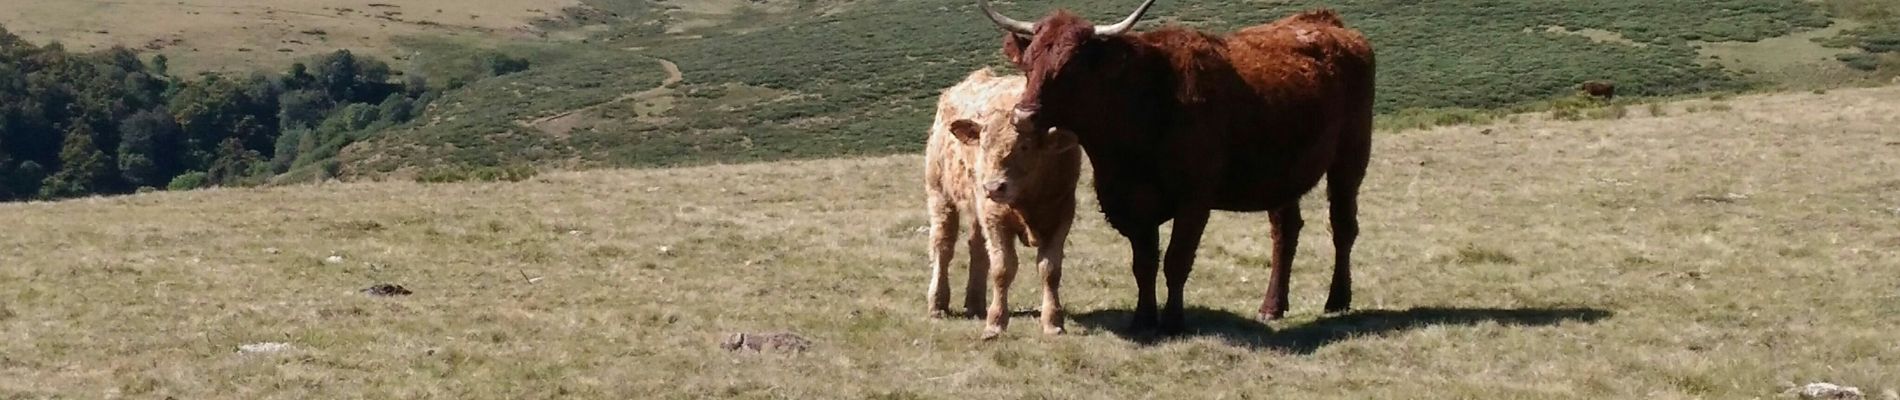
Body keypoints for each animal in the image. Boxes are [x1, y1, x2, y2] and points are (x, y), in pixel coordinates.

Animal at [923, 67, 1086, 339]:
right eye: (983, 145)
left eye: (1025, 146)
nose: (993, 187)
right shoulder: (996, 217)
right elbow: (1003, 268)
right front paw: (996, 323)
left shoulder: (1061, 215)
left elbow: (1050, 269)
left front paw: (1053, 322)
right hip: (940, 196)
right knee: (942, 247)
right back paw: (937, 304)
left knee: (976, 248)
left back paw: (975, 303)